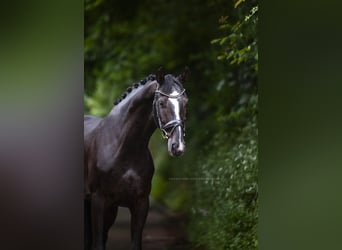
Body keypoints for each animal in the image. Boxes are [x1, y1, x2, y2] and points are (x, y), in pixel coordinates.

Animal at [83, 67, 190, 249]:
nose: (178, 146)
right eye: (161, 103)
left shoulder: (140, 203)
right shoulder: (98, 201)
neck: (123, 148)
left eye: (185, 102)